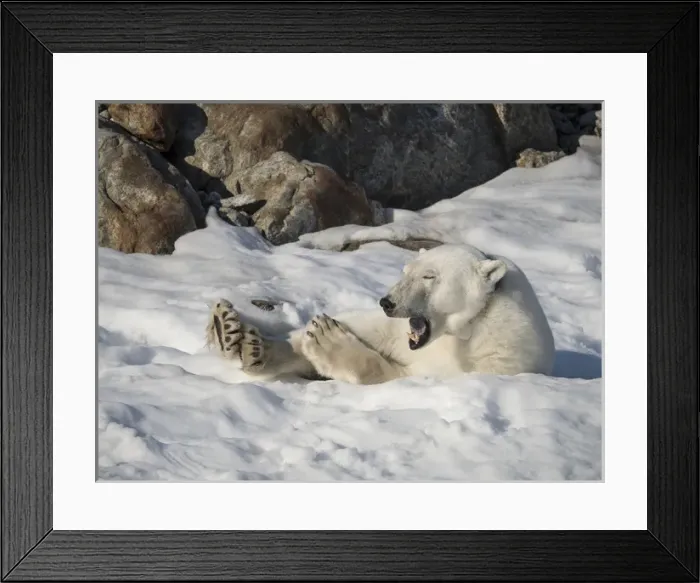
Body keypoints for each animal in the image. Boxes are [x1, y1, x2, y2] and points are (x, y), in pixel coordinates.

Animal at [205, 243, 555, 385]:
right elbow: (372, 330)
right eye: (405, 271)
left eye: (430, 276)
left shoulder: (498, 356)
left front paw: (327, 340)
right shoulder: (399, 332)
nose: (387, 302)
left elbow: (402, 375)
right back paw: (236, 336)